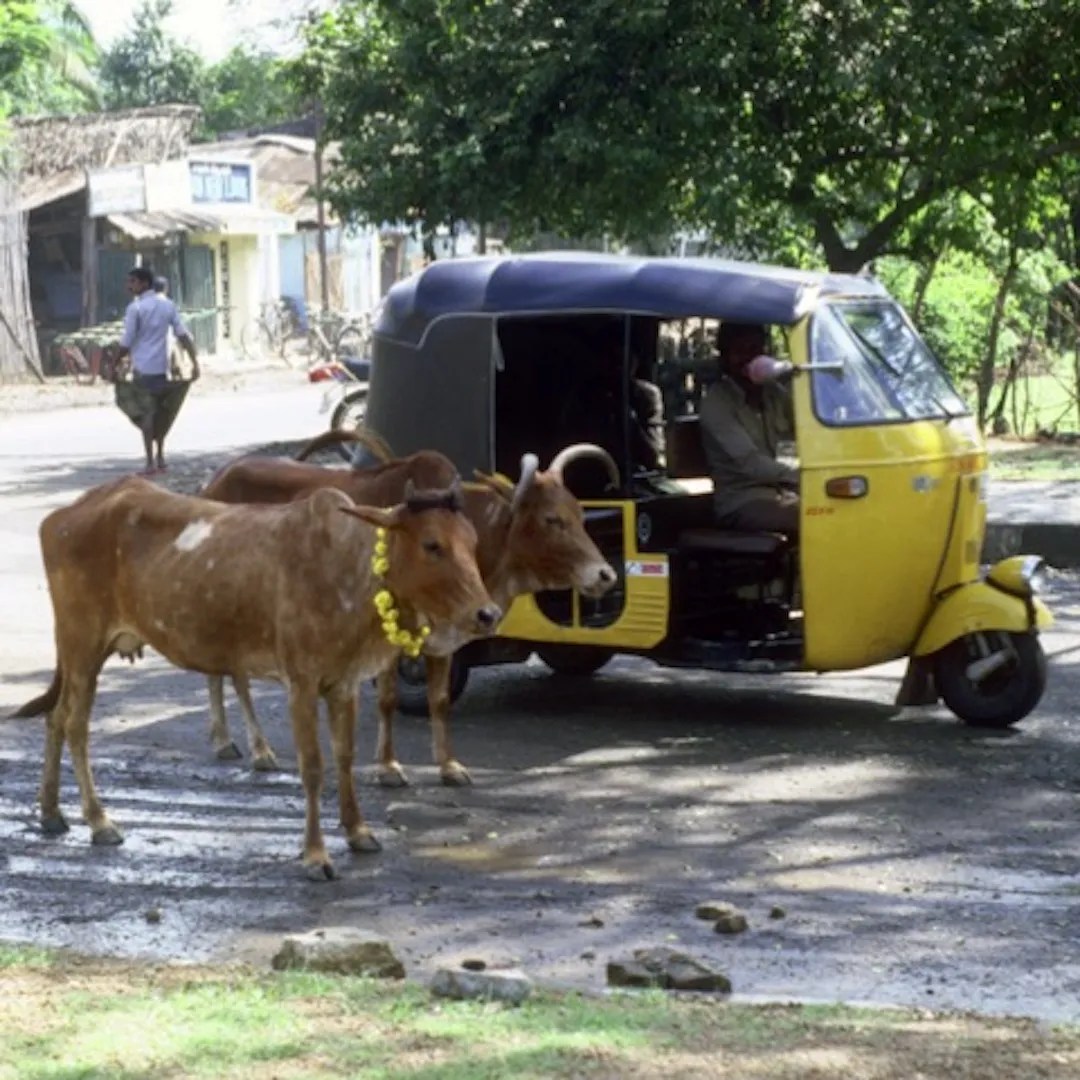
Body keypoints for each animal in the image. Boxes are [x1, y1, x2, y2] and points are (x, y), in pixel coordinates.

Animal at [13, 474, 500, 880]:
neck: (351, 572)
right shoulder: (301, 681)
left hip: (79, 650)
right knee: (76, 725)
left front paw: (359, 831)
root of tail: (63, 515)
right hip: (83, 641)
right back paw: (99, 821)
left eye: (473, 541)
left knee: (56, 717)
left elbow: (344, 757)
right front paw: (316, 856)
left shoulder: (343, 683)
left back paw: (52, 813)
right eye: (432, 544)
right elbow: (313, 767)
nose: (488, 613)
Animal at [200, 428, 620, 786]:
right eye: (552, 519)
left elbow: (439, 700)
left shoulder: (446, 639)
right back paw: (250, 748)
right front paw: (388, 767)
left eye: (580, 514)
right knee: (230, 673)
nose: (604, 574)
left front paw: (449, 766)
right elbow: (388, 700)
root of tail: (216, 480)